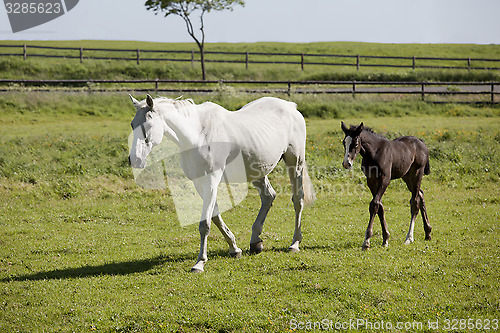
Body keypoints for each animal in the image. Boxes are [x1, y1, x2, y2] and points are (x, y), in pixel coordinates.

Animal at [129, 94, 316, 272]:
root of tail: (291, 106)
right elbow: (215, 216)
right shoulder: (200, 183)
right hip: (257, 171)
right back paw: (255, 242)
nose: (135, 160)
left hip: (295, 163)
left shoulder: (212, 181)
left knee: (297, 200)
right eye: (132, 125)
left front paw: (200, 263)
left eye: (148, 125)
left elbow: (205, 224)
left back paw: (294, 243)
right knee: (268, 197)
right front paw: (234, 249)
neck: (198, 135)